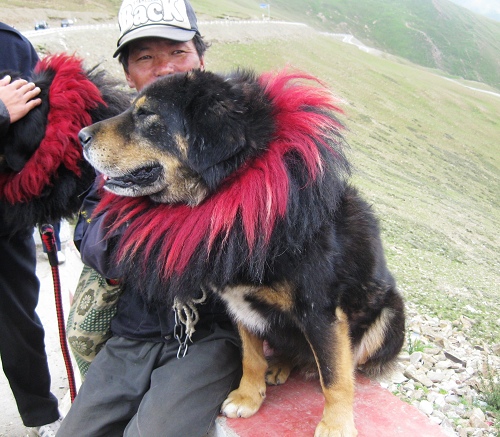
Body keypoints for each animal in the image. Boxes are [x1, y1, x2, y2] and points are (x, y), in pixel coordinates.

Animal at [79, 70, 406, 434]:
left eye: (147, 113)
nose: (81, 136)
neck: (236, 199)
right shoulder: (238, 305)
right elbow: (251, 358)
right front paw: (248, 397)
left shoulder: (320, 311)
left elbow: (335, 378)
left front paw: (336, 427)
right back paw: (280, 365)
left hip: (389, 315)